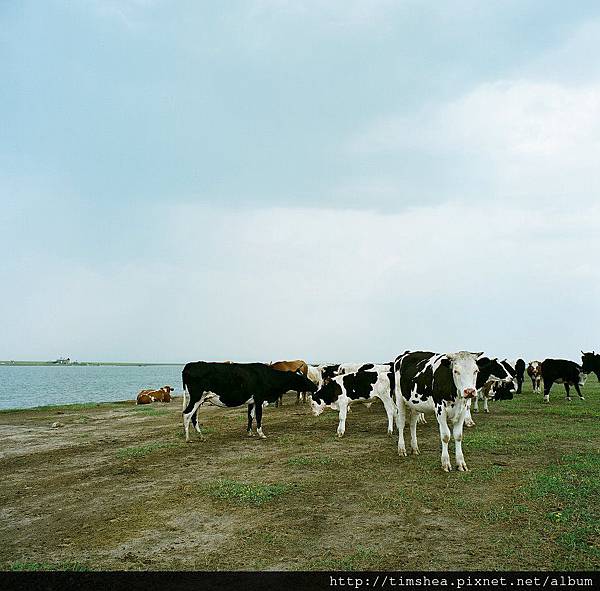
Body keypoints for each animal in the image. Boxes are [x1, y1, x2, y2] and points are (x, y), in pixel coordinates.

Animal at [180, 364, 316, 442]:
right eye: (302, 378)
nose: (315, 386)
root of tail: (189, 365)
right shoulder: (259, 399)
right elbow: (259, 416)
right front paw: (261, 434)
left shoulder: (252, 401)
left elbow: (250, 416)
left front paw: (250, 432)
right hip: (196, 397)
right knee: (186, 414)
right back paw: (187, 438)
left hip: (200, 400)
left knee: (194, 416)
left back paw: (201, 436)